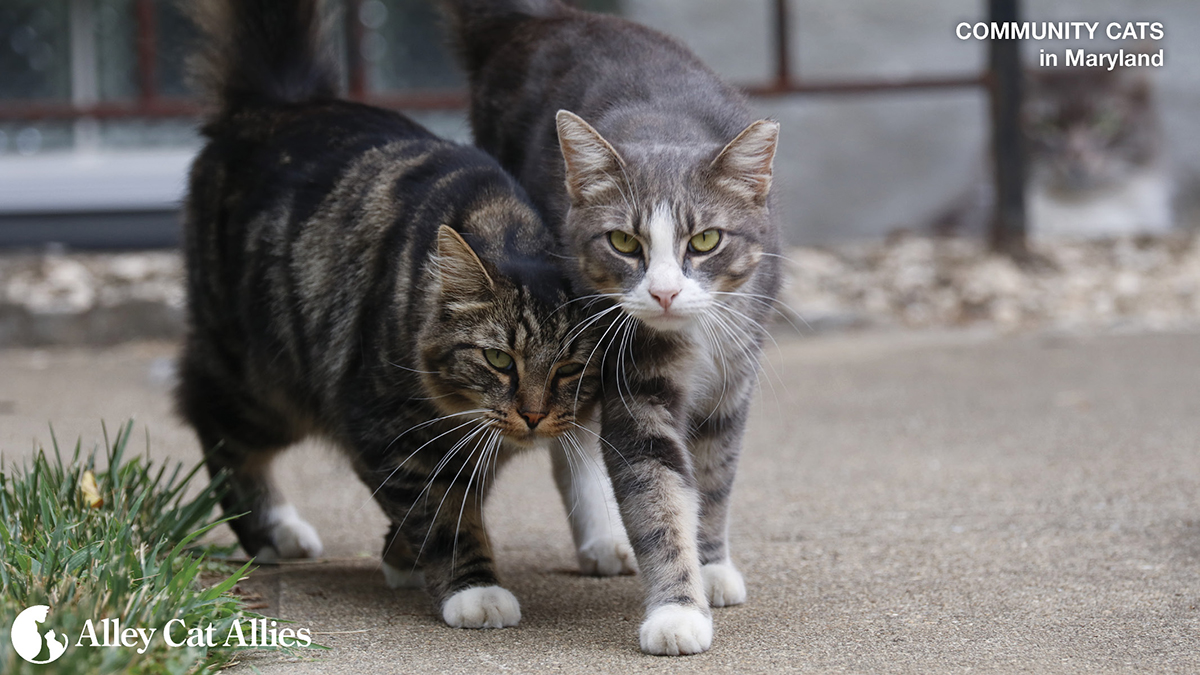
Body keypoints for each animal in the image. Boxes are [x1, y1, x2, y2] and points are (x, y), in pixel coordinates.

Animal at [176, 0, 600, 624]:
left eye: (571, 369)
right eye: (500, 359)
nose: (532, 415)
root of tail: (281, 100)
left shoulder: (467, 443)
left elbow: (451, 498)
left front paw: (400, 557)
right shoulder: (386, 426)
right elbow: (444, 516)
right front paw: (473, 590)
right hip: (261, 380)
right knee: (211, 420)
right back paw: (273, 532)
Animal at [446, 0, 782, 653]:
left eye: (706, 240)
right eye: (624, 242)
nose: (664, 291)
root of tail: (540, 18)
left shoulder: (735, 377)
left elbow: (714, 476)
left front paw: (710, 566)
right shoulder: (635, 382)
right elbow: (657, 494)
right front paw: (677, 611)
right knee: (570, 442)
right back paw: (601, 536)